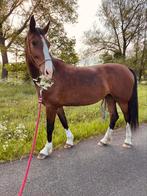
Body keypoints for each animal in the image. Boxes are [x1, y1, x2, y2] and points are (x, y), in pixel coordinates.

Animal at [24, 15, 138, 159]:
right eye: (34, 42)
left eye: (48, 44)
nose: (49, 71)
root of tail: (126, 68)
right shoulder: (57, 106)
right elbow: (64, 122)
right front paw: (69, 142)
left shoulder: (51, 106)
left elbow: (50, 127)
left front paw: (45, 150)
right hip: (110, 97)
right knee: (114, 116)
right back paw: (104, 140)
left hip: (122, 100)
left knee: (127, 117)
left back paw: (127, 142)